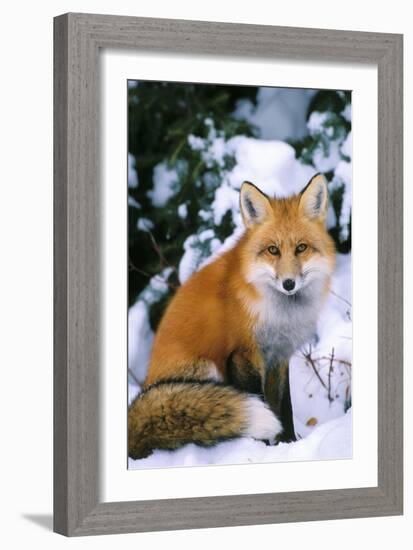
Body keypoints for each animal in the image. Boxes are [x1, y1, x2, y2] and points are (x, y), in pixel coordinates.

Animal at [128, 175, 334, 460]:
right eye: (273, 250)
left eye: (301, 248)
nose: (289, 284)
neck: (279, 313)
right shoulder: (242, 355)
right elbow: (261, 400)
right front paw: (261, 449)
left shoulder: (278, 357)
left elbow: (284, 408)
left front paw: (289, 444)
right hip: (207, 370)